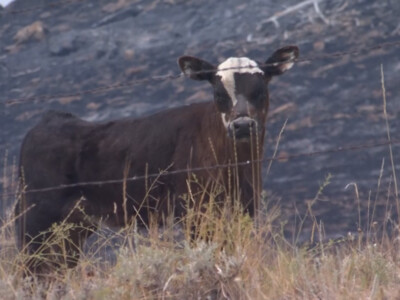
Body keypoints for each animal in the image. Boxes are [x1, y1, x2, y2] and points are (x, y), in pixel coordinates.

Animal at [15, 45, 298, 274]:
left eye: (261, 89)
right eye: (219, 94)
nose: (242, 126)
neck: (237, 165)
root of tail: (50, 118)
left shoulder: (245, 205)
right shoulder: (194, 209)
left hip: (72, 227)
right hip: (36, 220)